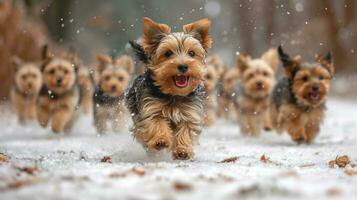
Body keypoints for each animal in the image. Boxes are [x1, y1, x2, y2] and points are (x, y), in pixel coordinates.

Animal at [125, 17, 210, 161]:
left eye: (192, 53)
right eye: (168, 53)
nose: (183, 66)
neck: (174, 94)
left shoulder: (190, 113)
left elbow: (186, 130)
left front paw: (183, 151)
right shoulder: (150, 108)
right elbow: (156, 122)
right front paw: (160, 140)